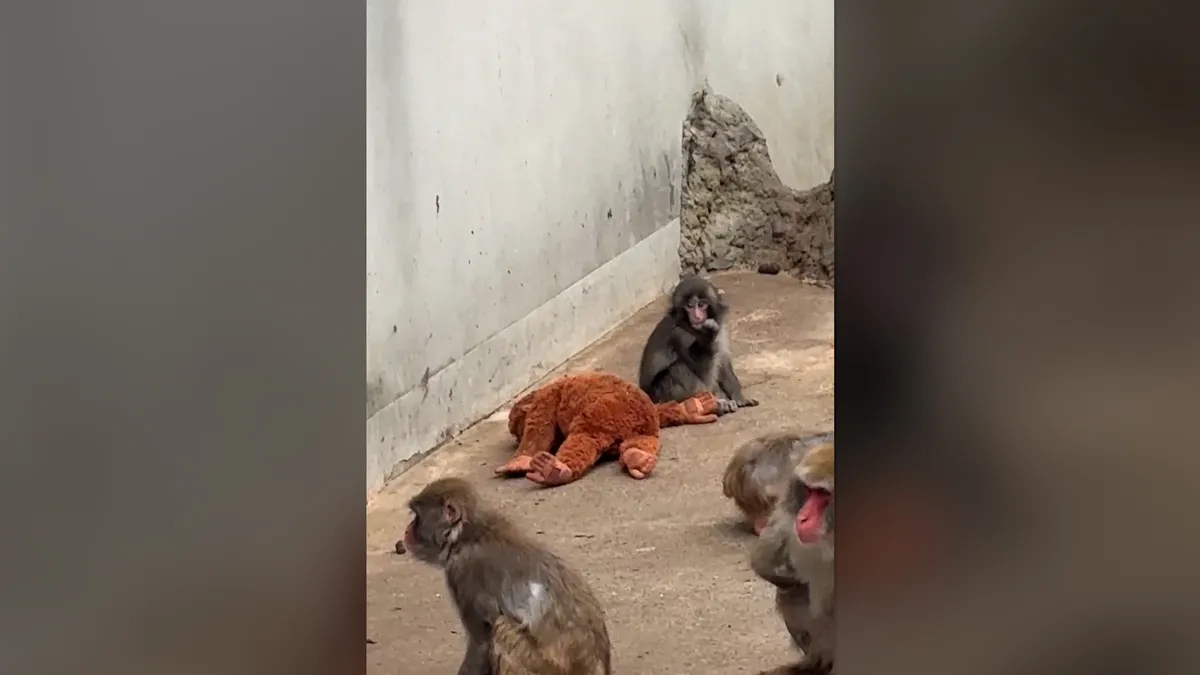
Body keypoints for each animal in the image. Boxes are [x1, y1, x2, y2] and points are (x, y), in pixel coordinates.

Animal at [402, 477, 612, 675]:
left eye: (417, 517)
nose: (407, 530)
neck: (469, 536)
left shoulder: (463, 573)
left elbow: (480, 643)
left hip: (546, 667)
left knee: (503, 628)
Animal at [637, 275, 759, 415]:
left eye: (701, 305)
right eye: (689, 306)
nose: (697, 316)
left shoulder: (721, 330)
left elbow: (722, 362)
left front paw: (739, 398)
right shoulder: (679, 335)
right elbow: (703, 372)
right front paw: (707, 336)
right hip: (660, 397)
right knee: (678, 369)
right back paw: (714, 404)